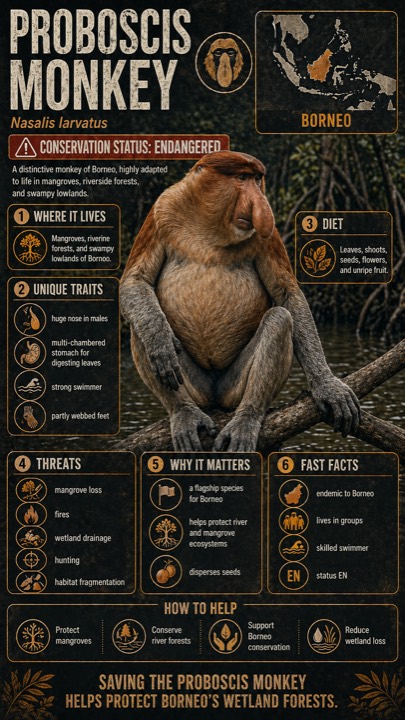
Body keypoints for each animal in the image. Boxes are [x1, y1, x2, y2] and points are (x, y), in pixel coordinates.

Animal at [120, 150, 360, 452]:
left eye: (257, 179)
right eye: (242, 178)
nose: (260, 200)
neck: (209, 225)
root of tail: (214, 397)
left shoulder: (269, 234)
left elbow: (287, 295)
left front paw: (328, 386)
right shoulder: (161, 210)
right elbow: (135, 282)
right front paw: (159, 342)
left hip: (231, 389)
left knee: (279, 319)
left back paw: (246, 418)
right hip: (196, 388)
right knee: (139, 328)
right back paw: (183, 411)